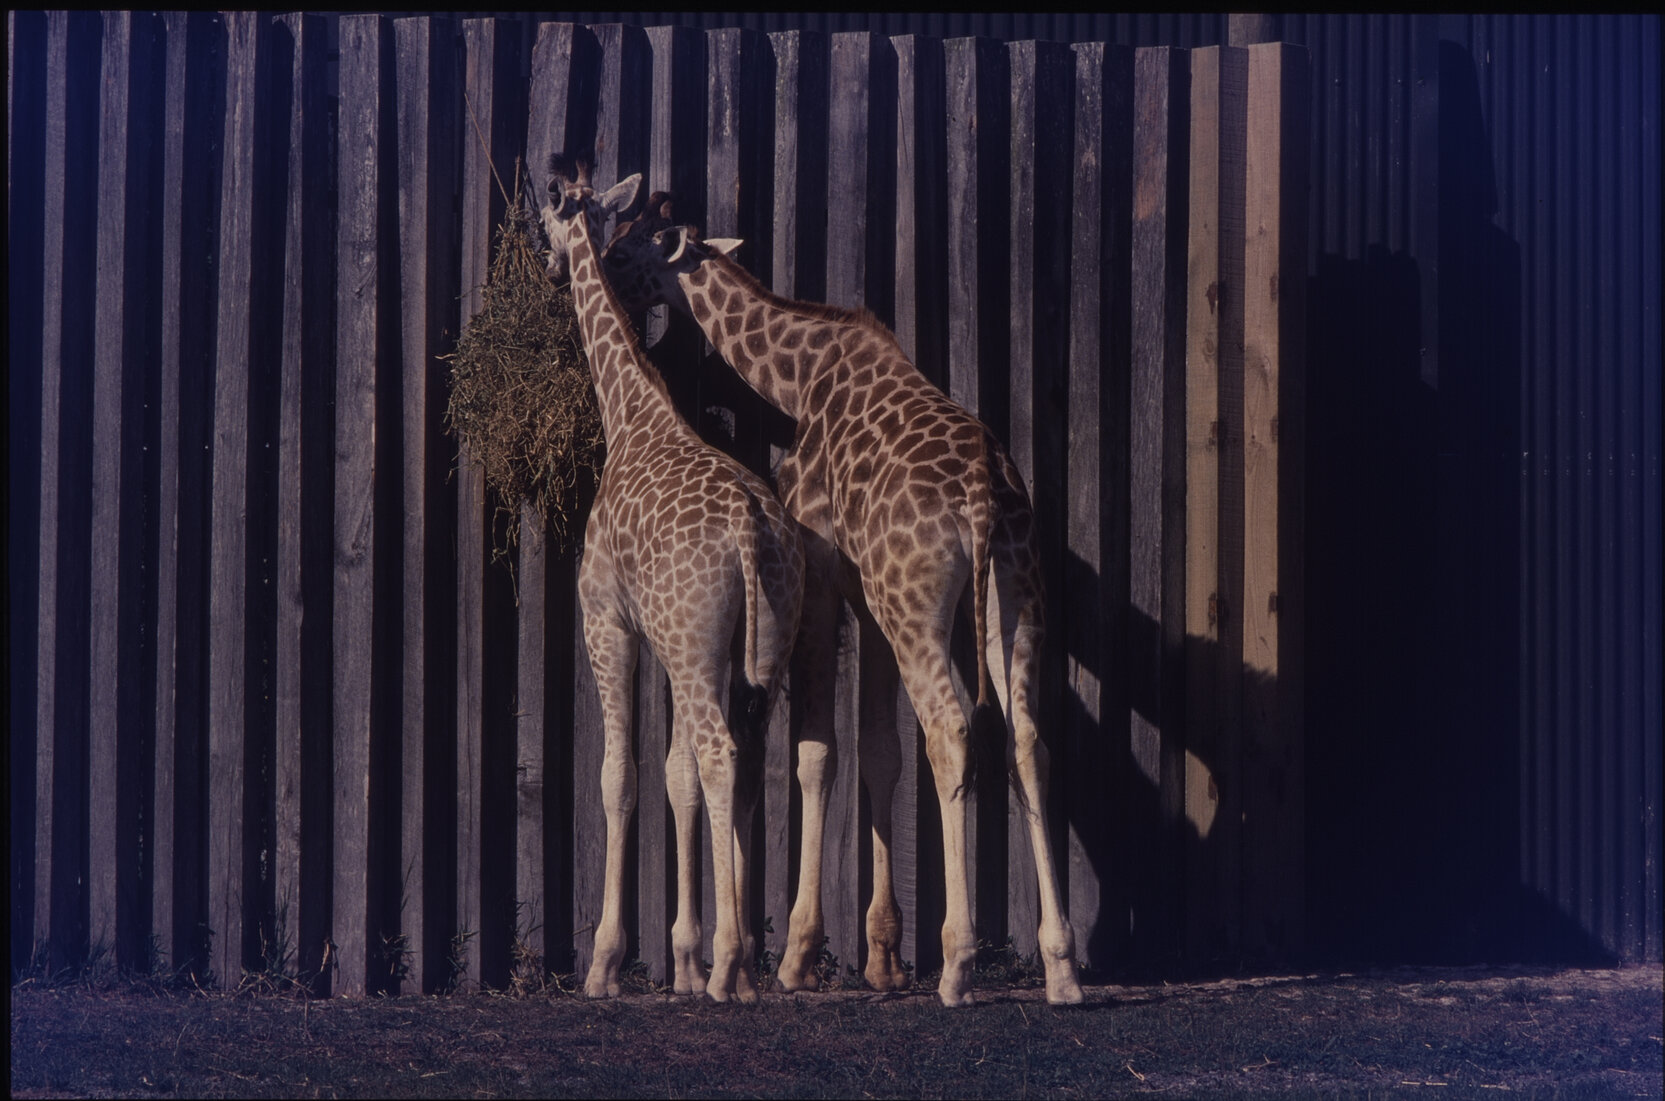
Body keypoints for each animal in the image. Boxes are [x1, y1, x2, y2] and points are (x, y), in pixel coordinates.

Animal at [538, 158, 803, 1003]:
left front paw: (605, 961)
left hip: (691, 644)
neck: (630, 410)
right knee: (744, 763)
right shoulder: (685, 642)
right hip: (752, 652)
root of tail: (752, 530)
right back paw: (736, 959)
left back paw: (731, 970)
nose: (554, 267)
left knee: (720, 754)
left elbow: (619, 774)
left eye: (545, 219)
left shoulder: (608, 619)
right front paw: (681, 957)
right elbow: (675, 773)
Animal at [602, 204, 1085, 1007]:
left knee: (952, 730)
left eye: (624, 250)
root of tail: (983, 495)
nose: (582, 274)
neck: (797, 377)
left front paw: (798, 956)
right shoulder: (869, 595)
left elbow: (816, 751)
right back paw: (1061, 966)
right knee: (1028, 740)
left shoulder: (824, 574)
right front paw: (881, 956)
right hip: (1012, 596)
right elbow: (880, 749)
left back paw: (957, 965)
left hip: (919, 603)